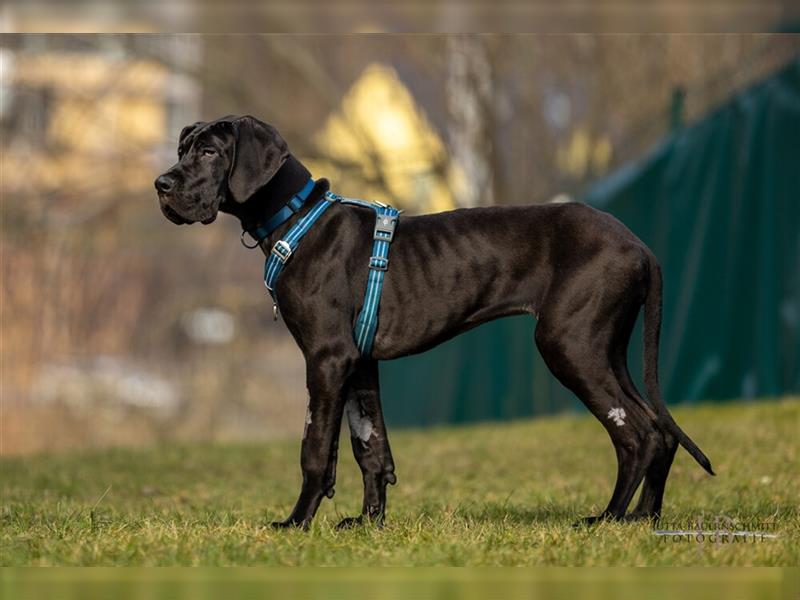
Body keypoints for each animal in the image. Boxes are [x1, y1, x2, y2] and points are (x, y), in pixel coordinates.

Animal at [155, 115, 712, 528]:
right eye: (183, 148)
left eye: (210, 152)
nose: (161, 184)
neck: (295, 218)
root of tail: (638, 245)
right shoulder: (359, 363)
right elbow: (369, 445)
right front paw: (369, 524)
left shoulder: (326, 358)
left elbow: (315, 448)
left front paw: (296, 523)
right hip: (605, 348)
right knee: (660, 431)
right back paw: (644, 520)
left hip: (570, 344)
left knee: (636, 434)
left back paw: (608, 519)